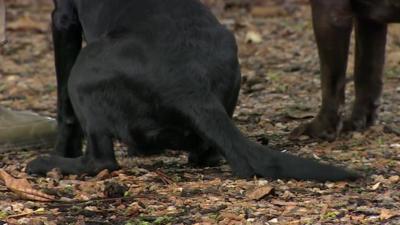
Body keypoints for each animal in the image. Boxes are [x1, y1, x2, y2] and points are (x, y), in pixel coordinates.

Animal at [290, 0, 400, 141]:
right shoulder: (369, 20)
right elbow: (367, 71)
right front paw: (358, 123)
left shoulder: (331, 14)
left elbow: (330, 82)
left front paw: (319, 130)